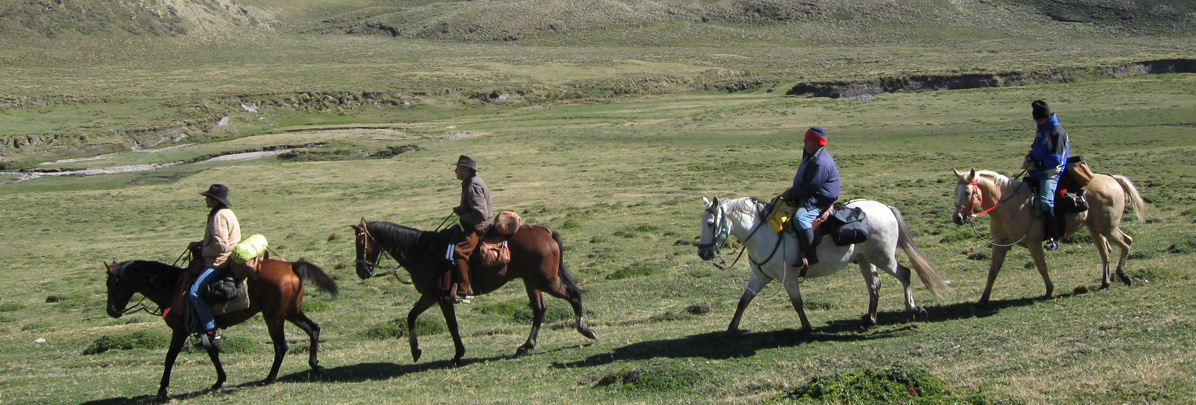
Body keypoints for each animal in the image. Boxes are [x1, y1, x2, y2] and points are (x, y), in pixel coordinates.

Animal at [103, 251, 338, 399]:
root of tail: (291, 265)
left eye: (111, 283)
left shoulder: (180, 330)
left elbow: (170, 358)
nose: (112, 311)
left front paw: (162, 390)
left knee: (281, 346)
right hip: (291, 313)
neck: (172, 287)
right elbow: (213, 352)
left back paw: (269, 378)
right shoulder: (205, 328)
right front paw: (219, 381)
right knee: (313, 329)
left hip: (274, 317)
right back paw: (316, 365)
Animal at [351, 219, 596, 366]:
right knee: (539, 310)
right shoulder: (431, 296)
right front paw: (416, 351)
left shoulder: (439, 297)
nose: (361, 270)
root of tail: (546, 232)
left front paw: (457, 354)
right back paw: (526, 346)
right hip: (532, 282)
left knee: (573, 296)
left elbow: (451, 326)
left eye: (360, 242)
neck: (422, 251)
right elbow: (411, 316)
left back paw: (585, 329)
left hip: (545, 281)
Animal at [698, 197, 948, 335]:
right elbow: (743, 301)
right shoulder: (759, 277)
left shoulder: (789, 278)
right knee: (874, 286)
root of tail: (885, 207)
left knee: (905, 273)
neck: (763, 233)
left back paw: (914, 308)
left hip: (884, 257)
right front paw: (731, 329)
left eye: (710, 223)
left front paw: (807, 329)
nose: (703, 252)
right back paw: (868, 320)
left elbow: (797, 304)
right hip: (865, 260)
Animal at [951, 169, 1146, 303]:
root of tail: (1112, 178)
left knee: (1126, 242)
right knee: (1105, 251)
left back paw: (1123, 275)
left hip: (1108, 227)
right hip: (1095, 228)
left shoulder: (1034, 243)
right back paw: (1106, 282)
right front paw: (983, 298)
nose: (957, 218)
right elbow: (993, 271)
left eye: (968, 192)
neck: (1009, 207)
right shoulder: (1000, 245)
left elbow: (1041, 267)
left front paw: (1049, 290)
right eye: (956, 192)